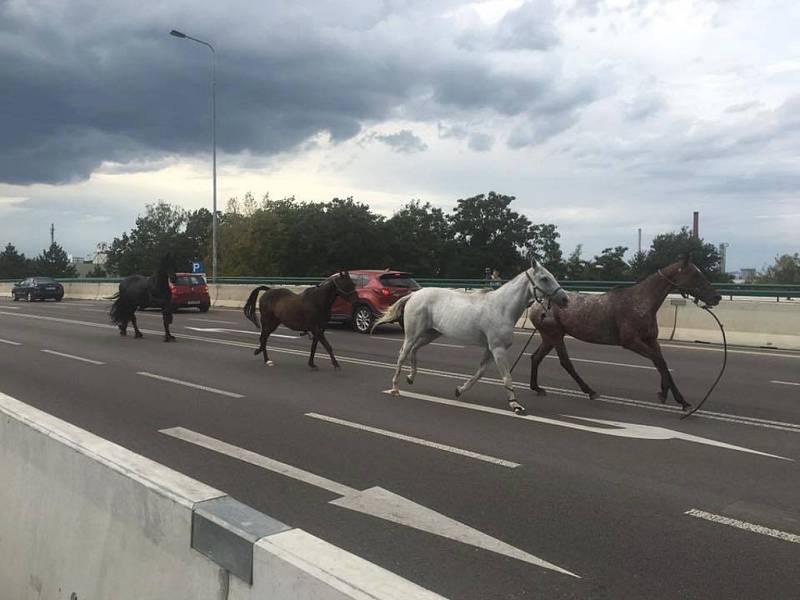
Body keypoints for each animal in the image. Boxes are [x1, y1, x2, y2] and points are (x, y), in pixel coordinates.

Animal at [376, 260, 568, 414]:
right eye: (544, 278)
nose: (565, 299)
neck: (501, 308)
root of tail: (414, 294)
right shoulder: (498, 349)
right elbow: (506, 376)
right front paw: (516, 406)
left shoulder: (490, 349)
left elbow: (479, 373)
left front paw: (459, 390)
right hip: (413, 333)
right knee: (403, 354)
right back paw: (395, 388)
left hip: (431, 333)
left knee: (414, 350)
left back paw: (411, 377)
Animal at [528, 255, 720, 410]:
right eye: (695, 274)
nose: (716, 297)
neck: (641, 302)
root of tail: (536, 304)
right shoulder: (631, 342)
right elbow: (659, 362)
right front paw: (672, 397)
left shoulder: (651, 340)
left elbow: (661, 362)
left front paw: (675, 398)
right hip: (555, 335)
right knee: (565, 362)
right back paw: (590, 391)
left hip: (549, 337)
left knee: (536, 357)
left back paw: (537, 388)